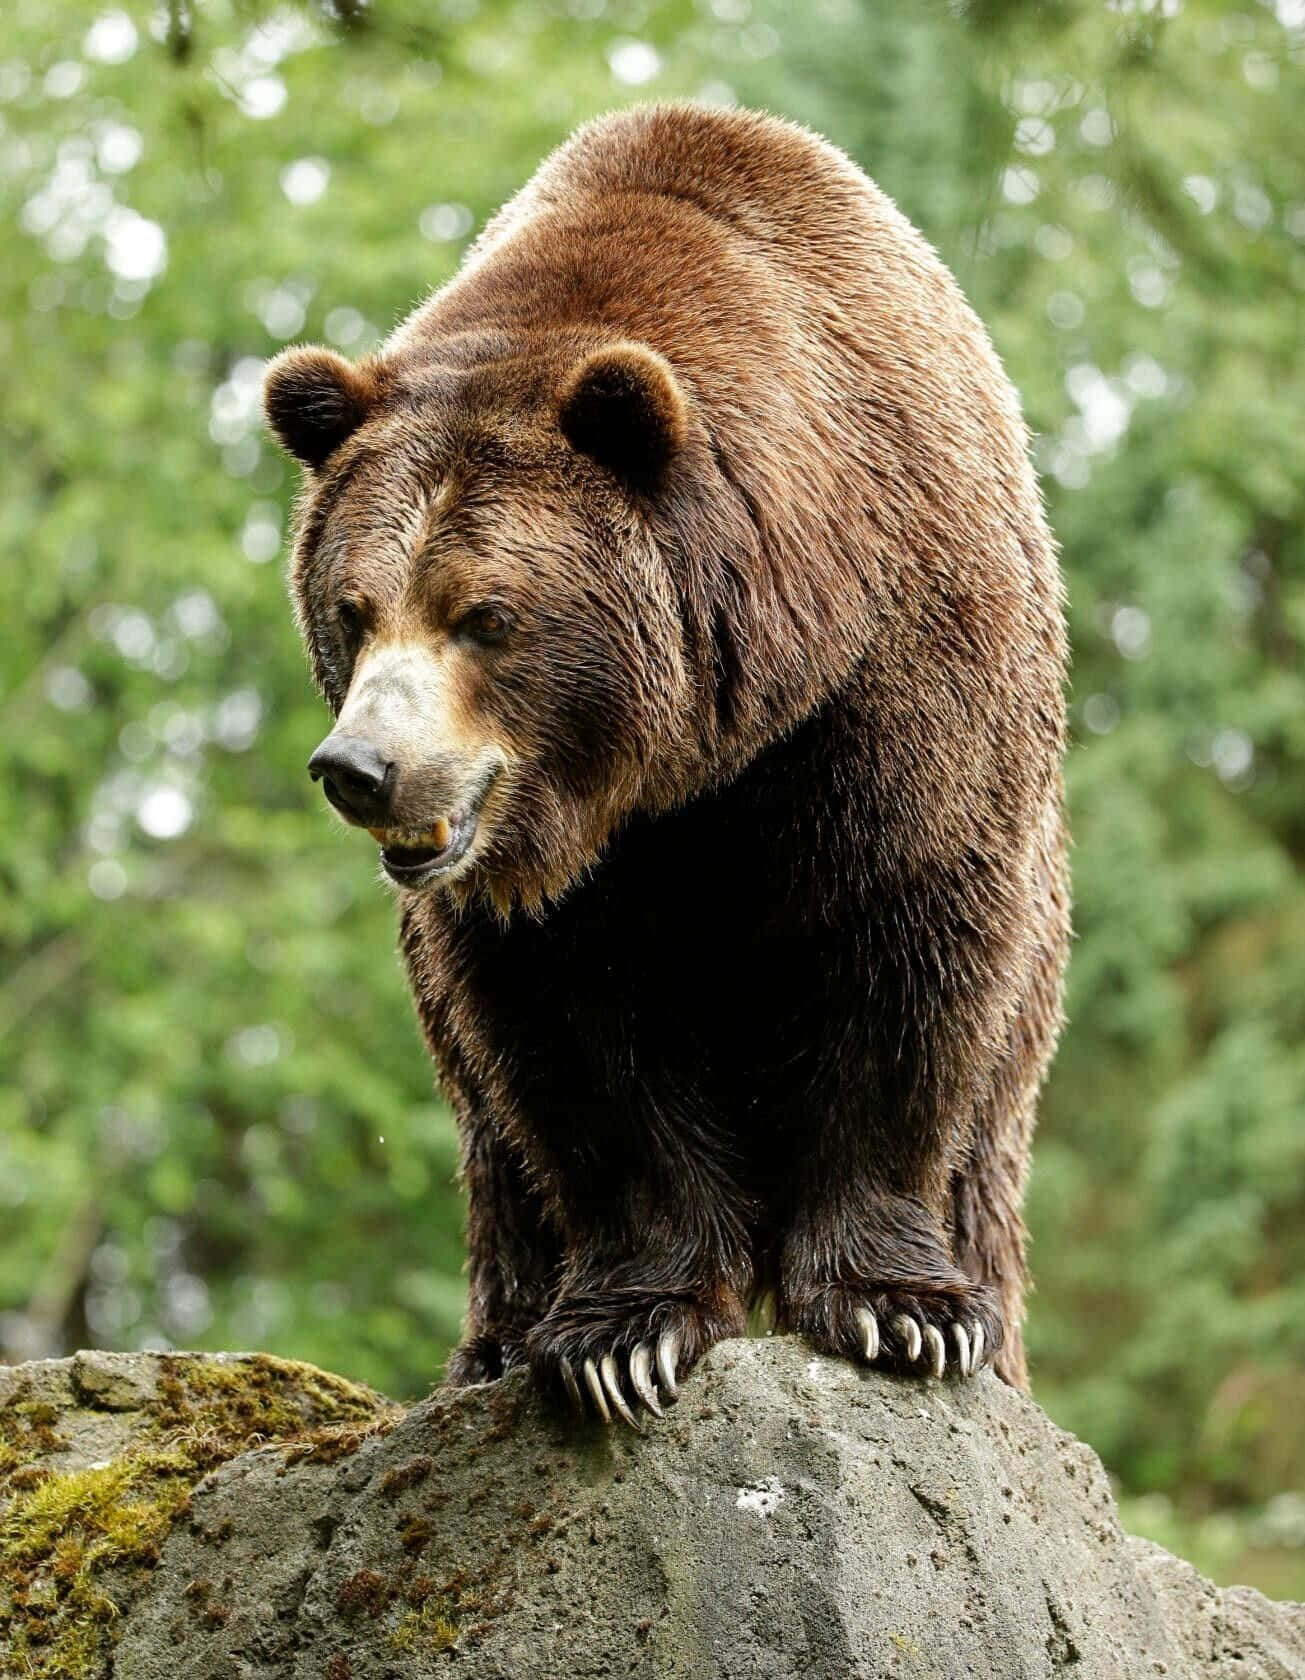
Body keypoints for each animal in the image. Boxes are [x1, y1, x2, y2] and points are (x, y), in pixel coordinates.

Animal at [263, 103, 1069, 1426]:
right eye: (352, 607)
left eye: (486, 614)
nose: (362, 768)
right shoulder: (557, 884)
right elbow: (581, 1045)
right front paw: (621, 1336)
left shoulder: (897, 690)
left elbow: (905, 959)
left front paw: (903, 1311)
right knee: (498, 1150)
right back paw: (494, 1343)